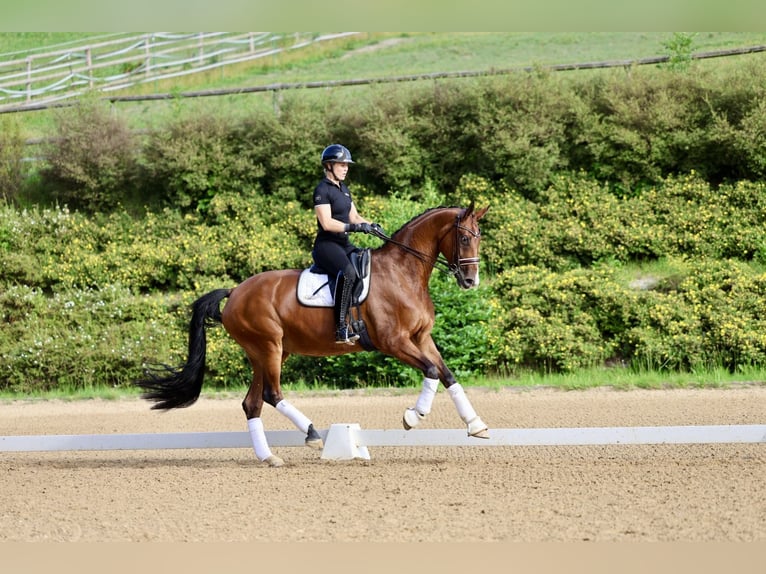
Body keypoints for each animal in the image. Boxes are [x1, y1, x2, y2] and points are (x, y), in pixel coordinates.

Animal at [138, 204, 492, 468]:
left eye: (479, 237)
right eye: (464, 238)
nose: (470, 281)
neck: (403, 273)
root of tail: (235, 291)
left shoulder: (421, 338)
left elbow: (447, 375)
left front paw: (476, 425)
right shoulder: (393, 342)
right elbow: (431, 371)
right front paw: (412, 417)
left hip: (266, 353)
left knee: (253, 402)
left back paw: (270, 457)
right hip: (268, 346)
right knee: (272, 395)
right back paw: (311, 434)